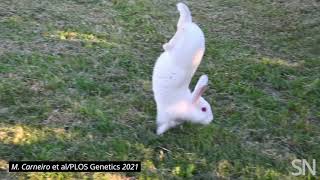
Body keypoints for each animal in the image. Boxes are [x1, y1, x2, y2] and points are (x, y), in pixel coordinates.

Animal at [152, 2, 212, 135]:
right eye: (204, 109)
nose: (211, 120)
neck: (186, 103)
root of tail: (191, 24)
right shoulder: (165, 114)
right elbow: (164, 122)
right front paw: (159, 132)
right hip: (181, 38)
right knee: (176, 36)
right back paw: (167, 45)